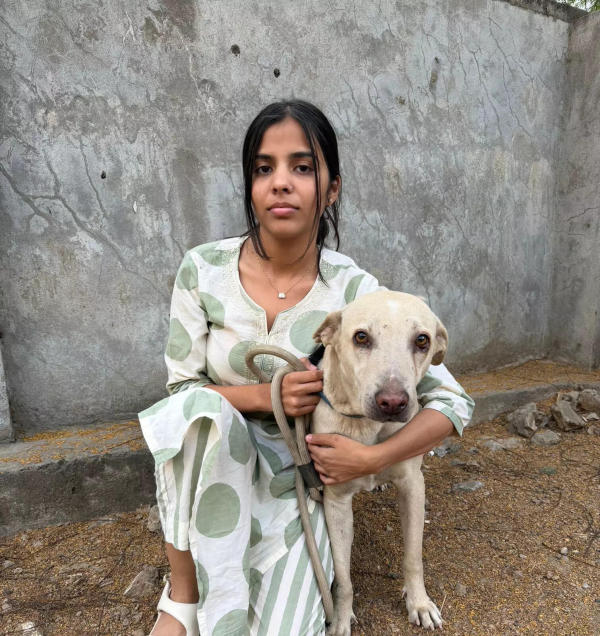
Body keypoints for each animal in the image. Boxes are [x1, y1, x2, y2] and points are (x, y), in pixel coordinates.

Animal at [312, 290, 448, 634]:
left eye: (422, 340)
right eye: (361, 337)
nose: (393, 402)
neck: (367, 428)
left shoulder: (413, 486)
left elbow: (413, 557)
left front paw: (419, 603)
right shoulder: (336, 502)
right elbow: (344, 578)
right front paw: (341, 619)